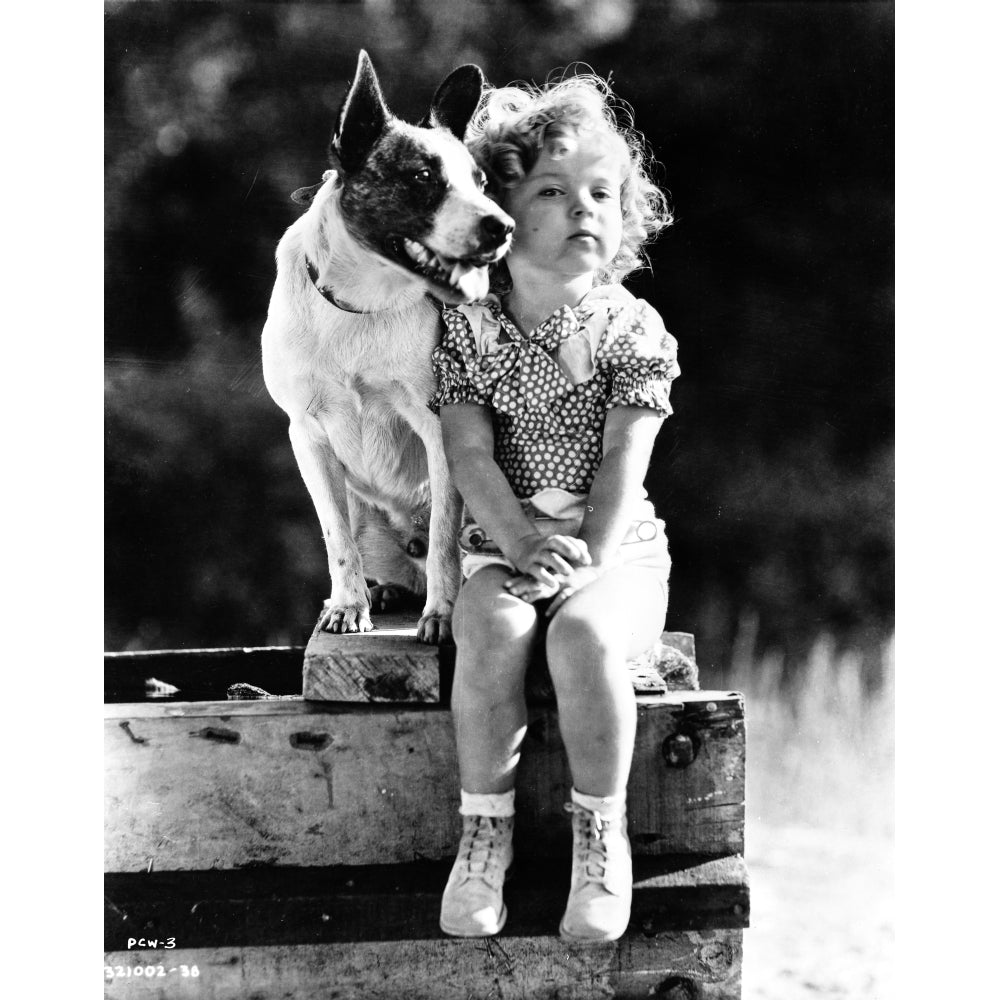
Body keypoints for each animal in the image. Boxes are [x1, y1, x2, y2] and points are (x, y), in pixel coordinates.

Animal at [262, 50, 512, 640]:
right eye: (422, 177)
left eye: (481, 181)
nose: (503, 227)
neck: (363, 301)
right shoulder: (308, 435)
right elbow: (336, 537)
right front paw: (348, 606)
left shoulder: (439, 429)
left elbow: (444, 535)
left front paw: (441, 616)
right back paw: (384, 590)